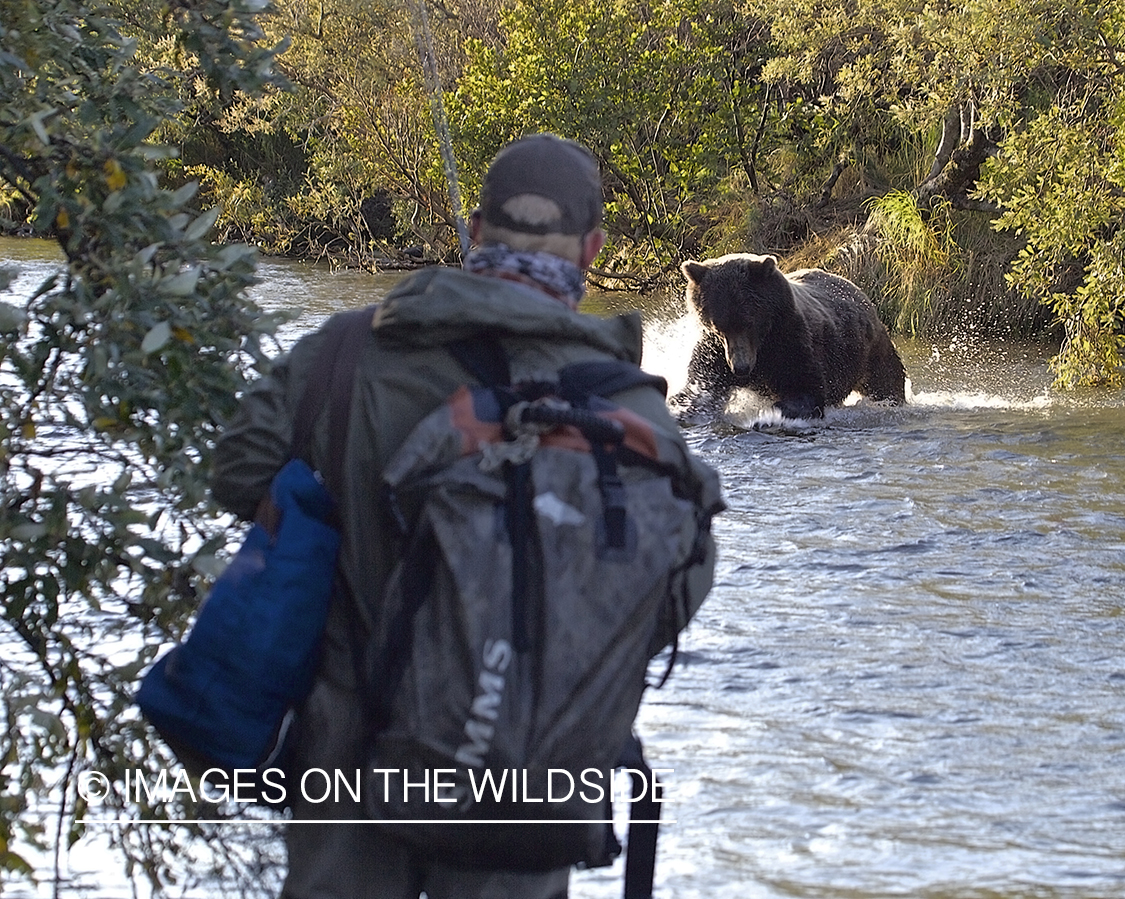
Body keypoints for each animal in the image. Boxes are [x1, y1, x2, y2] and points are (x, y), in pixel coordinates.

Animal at [670, 255, 909, 420]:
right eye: (718, 326)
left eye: (748, 322)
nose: (741, 368)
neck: (762, 345)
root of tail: (856, 288)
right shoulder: (715, 350)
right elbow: (701, 385)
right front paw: (679, 404)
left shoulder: (790, 341)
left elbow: (804, 386)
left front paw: (772, 413)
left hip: (870, 350)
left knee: (886, 380)